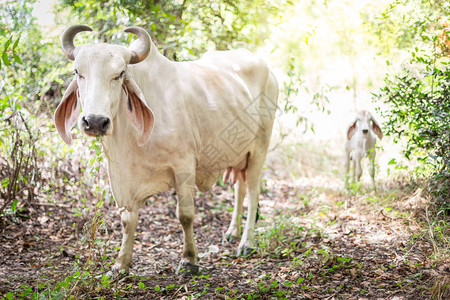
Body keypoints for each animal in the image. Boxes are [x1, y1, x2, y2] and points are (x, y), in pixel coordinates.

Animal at [53, 25, 278, 274]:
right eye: (77, 72)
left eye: (120, 74)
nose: (94, 121)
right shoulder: (123, 179)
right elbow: (128, 220)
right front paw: (121, 265)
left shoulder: (184, 165)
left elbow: (185, 215)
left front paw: (189, 260)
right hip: (239, 153)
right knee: (240, 187)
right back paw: (232, 233)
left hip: (259, 147)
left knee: (253, 191)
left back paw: (247, 243)